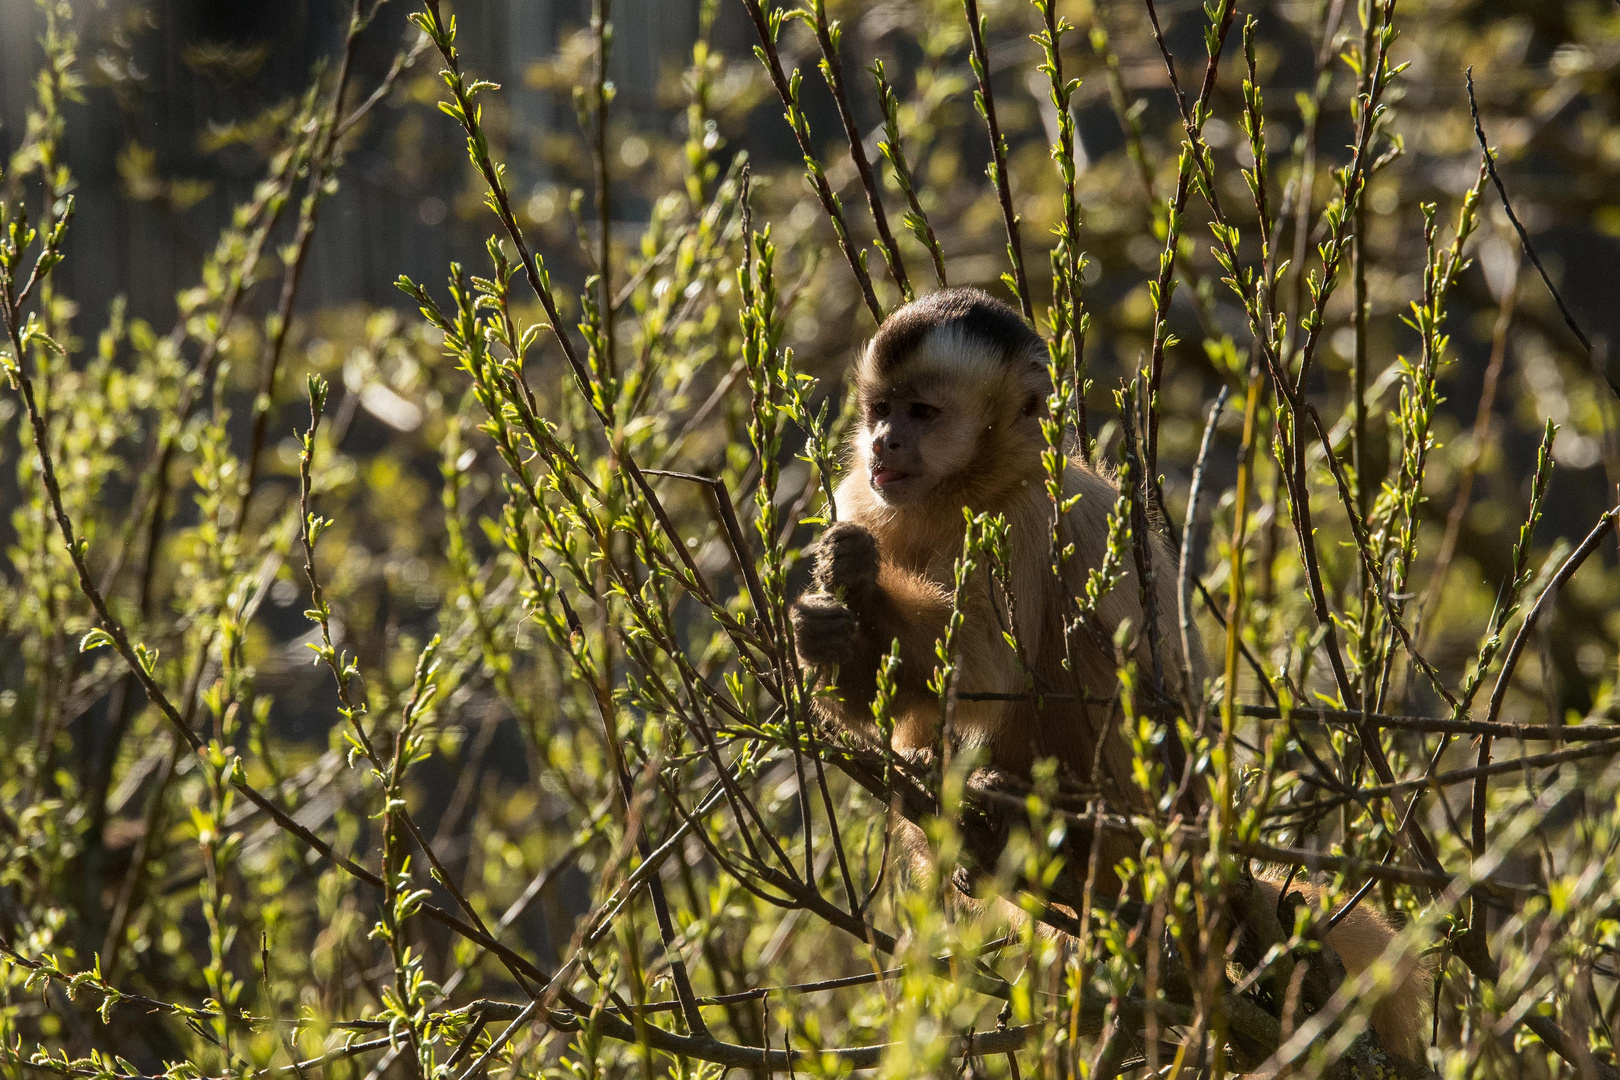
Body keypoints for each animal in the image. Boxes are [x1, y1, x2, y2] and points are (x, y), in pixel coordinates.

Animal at [790, 284, 1425, 1055]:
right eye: (881, 409)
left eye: (922, 413)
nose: (884, 441)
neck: (968, 485)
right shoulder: (866, 494)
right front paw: (830, 630)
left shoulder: (1028, 514)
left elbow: (981, 670)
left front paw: (863, 590)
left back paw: (1022, 816)